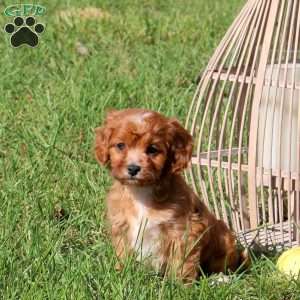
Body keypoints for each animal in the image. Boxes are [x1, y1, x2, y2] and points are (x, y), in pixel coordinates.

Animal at [95, 109, 247, 282]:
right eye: (120, 146)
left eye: (152, 149)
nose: (133, 169)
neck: (141, 191)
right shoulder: (121, 226)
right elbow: (123, 253)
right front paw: (122, 274)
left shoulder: (184, 230)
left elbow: (182, 261)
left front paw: (178, 284)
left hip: (225, 240)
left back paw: (220, 279)